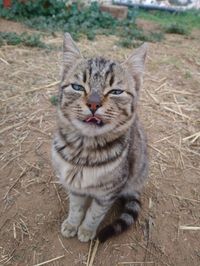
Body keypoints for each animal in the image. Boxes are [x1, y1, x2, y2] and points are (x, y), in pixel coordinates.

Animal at [51, 32, 148, 242]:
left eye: (116, 91)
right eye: (77, 87)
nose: (93, 104)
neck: (84, 152)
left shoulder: (108, 192)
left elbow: (94, 214)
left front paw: (86, 230)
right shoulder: (75, 187)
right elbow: (76, 208)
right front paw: (72, 224)